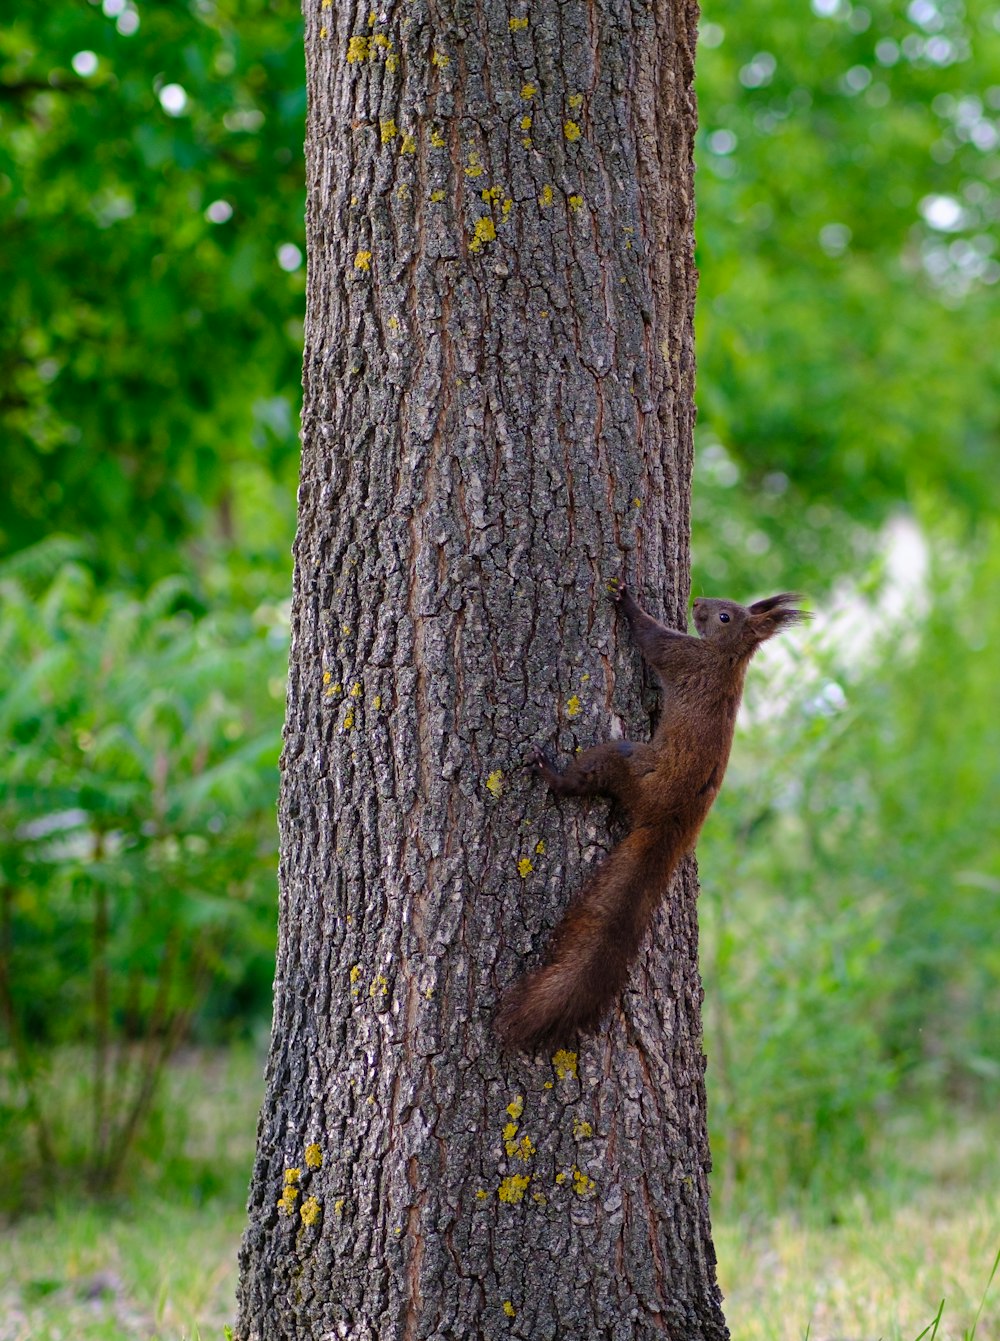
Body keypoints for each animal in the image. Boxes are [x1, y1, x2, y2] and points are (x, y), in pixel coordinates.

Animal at [495, 581, 804, 1051]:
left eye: (724, 617)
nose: (697, 603)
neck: (727, 659)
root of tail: (673, 821)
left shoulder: (683, 657)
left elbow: (651, 639)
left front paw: (625, 601)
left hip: (627, 760)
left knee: (588, 777)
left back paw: (550, 772)